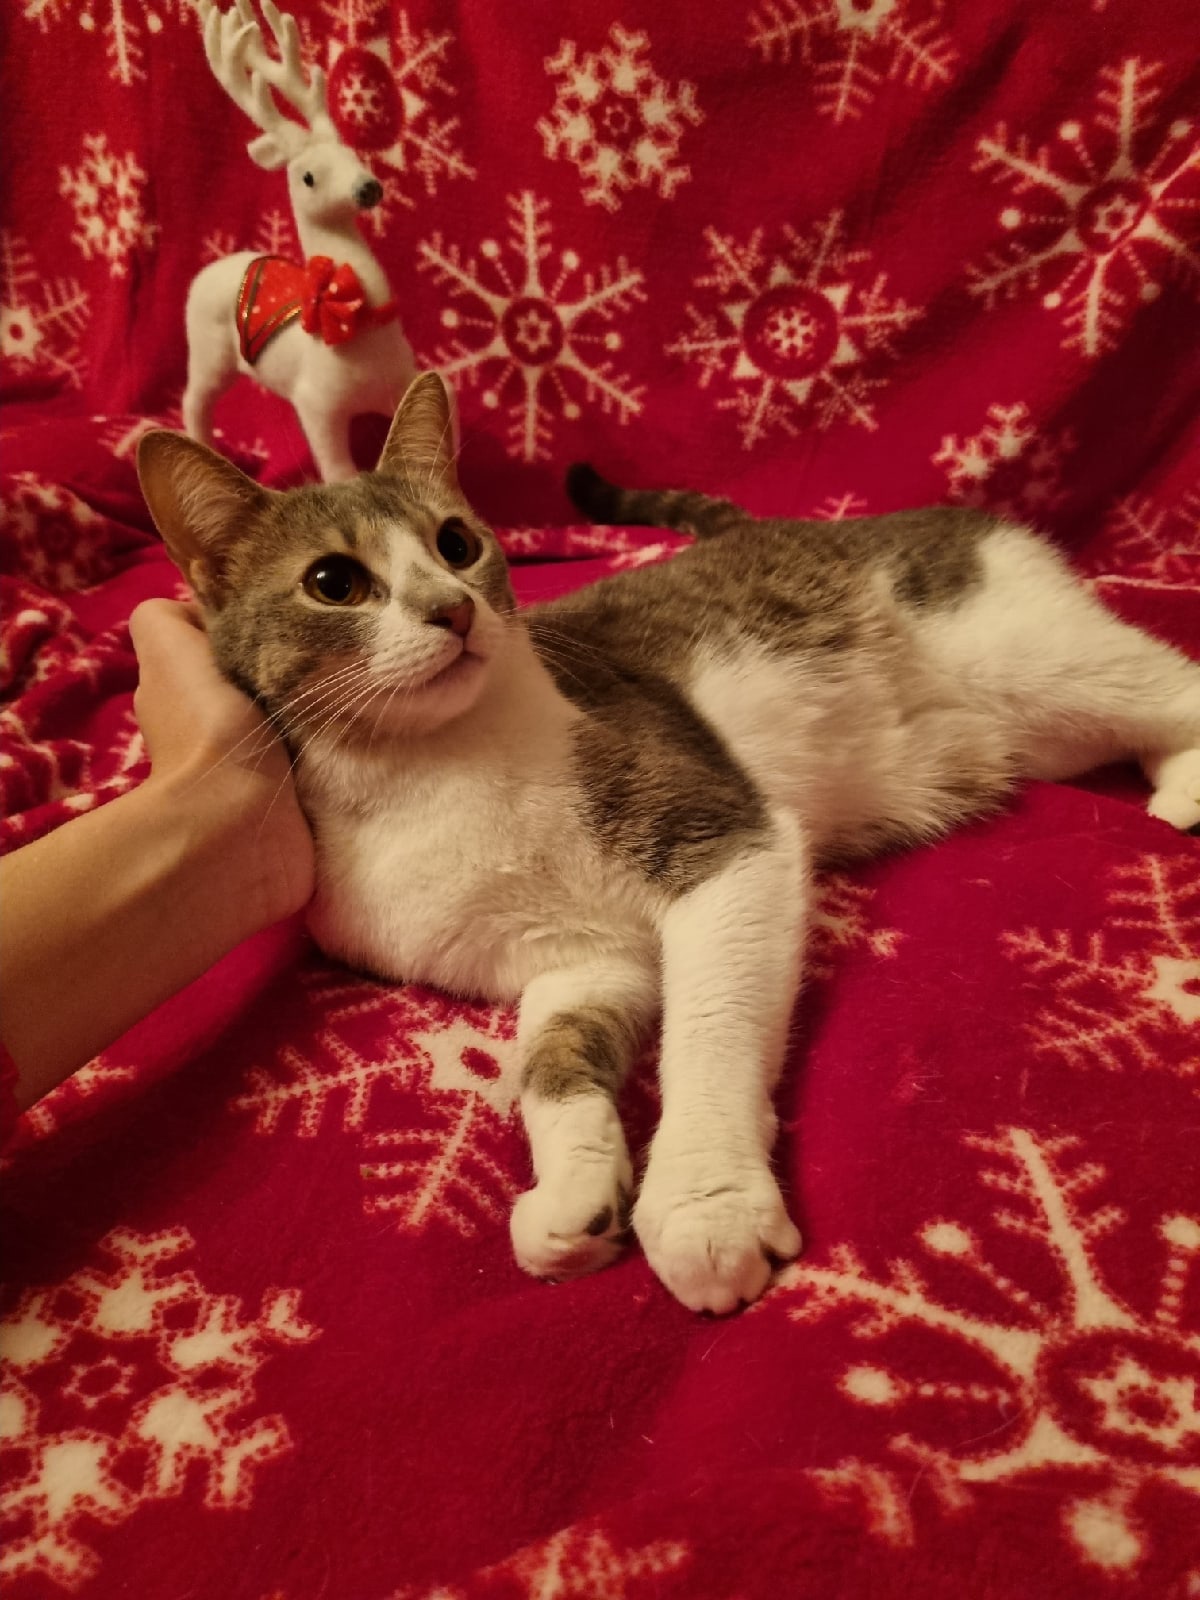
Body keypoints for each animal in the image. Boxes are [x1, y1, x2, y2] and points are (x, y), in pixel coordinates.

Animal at [137, 371, 1200, 1314]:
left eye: (456, 542)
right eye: (333, 583)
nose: (453, 607)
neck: (435, 771)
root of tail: (799, 527)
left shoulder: (724, 840)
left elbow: (709, 1027)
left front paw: (702, 1206)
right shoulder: (572, 958)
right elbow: (550, 1063)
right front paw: (573, 1198)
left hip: (1028, 658)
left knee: (1165, 681)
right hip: (1033, 729)